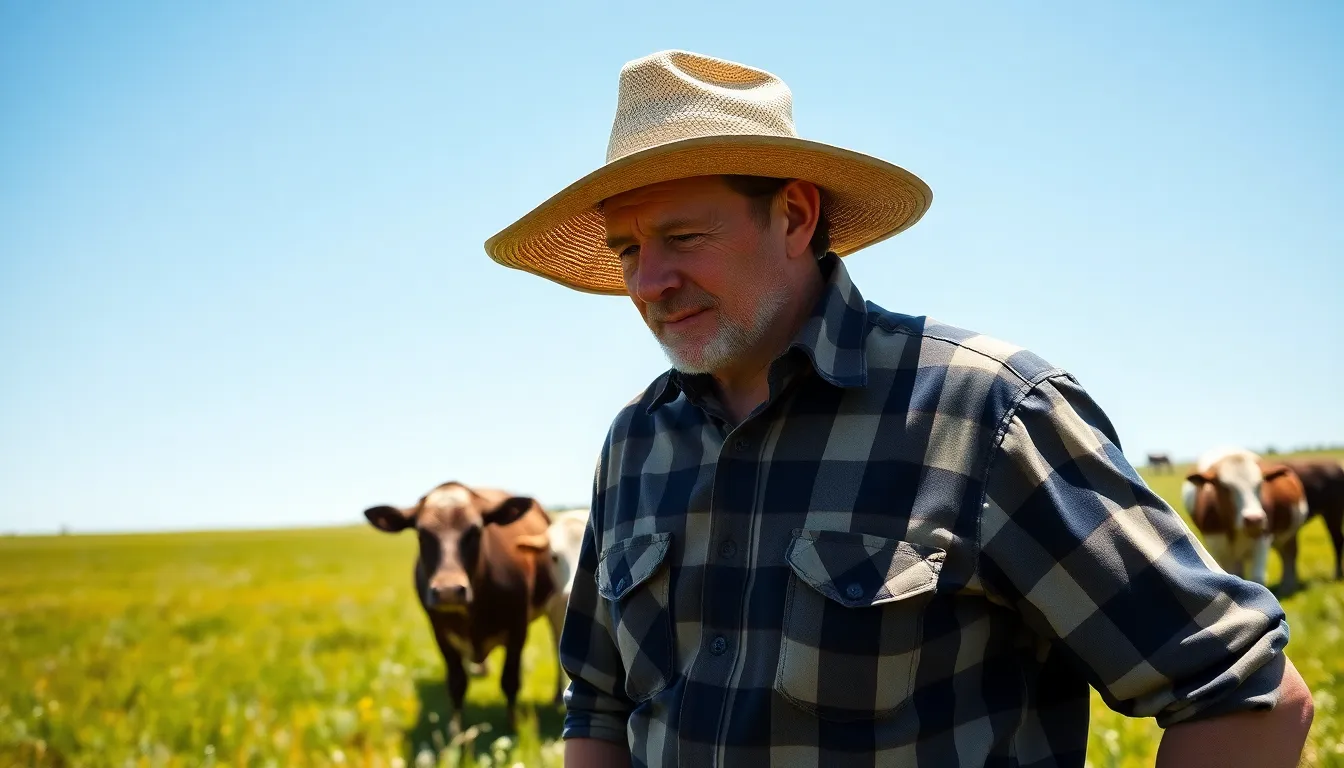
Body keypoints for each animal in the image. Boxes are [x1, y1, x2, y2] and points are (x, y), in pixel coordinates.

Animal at [363, 481, 558, 733]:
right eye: (422, 534)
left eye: (475, 531)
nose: (448, 591)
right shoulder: (440, 633)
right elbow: (457, 683)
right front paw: (456, 731)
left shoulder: (518, 627)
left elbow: (510, 680)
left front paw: (513, 724)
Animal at [1183, 447, 1309, 591]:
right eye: (1225, 486)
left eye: (1260, 484)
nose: (1254, 519)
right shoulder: (1217, 545)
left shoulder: (1262, 538)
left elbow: (1258, 578)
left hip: (1289, 534)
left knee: (1289, 554)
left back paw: (1288, 585)